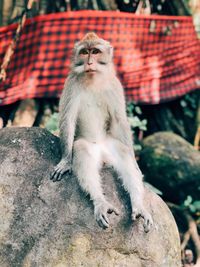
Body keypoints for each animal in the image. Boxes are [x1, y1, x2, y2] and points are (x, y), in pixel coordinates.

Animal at [50, 31, 153, 232]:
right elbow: (68, 120)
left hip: (111, 147)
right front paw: (65, 160)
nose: (89, 62)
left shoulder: (115, 86)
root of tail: (103, 157)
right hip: (90, 148)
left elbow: (119, 120)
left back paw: (138, 206)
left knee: (124, 154)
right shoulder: (71, 84)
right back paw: (101, 203)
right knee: (82, 150)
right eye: (84, 52)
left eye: (95, 51)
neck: (93, 79)